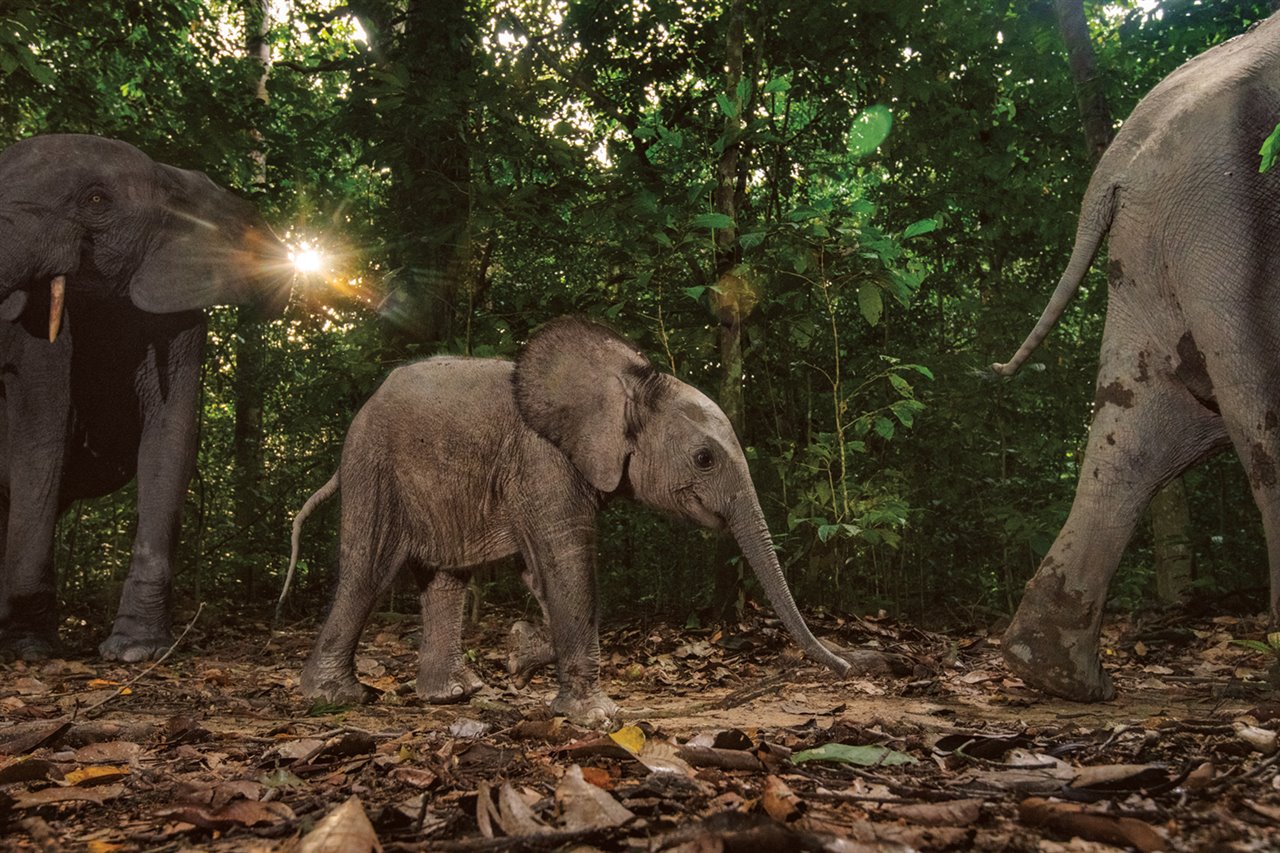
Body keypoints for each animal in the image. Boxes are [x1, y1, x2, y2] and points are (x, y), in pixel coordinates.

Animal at [0, 134, 290, 655]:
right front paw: (30, 650)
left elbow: (170, 438)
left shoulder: (178, 310)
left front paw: (136, 650)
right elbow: (41, 438)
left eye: (96, 200)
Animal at [290, 315, 849, 722]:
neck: (629, 381)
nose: (847, 667)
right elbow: (566, 561)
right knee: (368, 570)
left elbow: (542, 574)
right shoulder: (543, 460)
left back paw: (452, 696)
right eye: (704, 459)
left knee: (447, 580)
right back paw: (336, 699)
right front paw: (595, 717)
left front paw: (521, 656)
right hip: (374, 466)